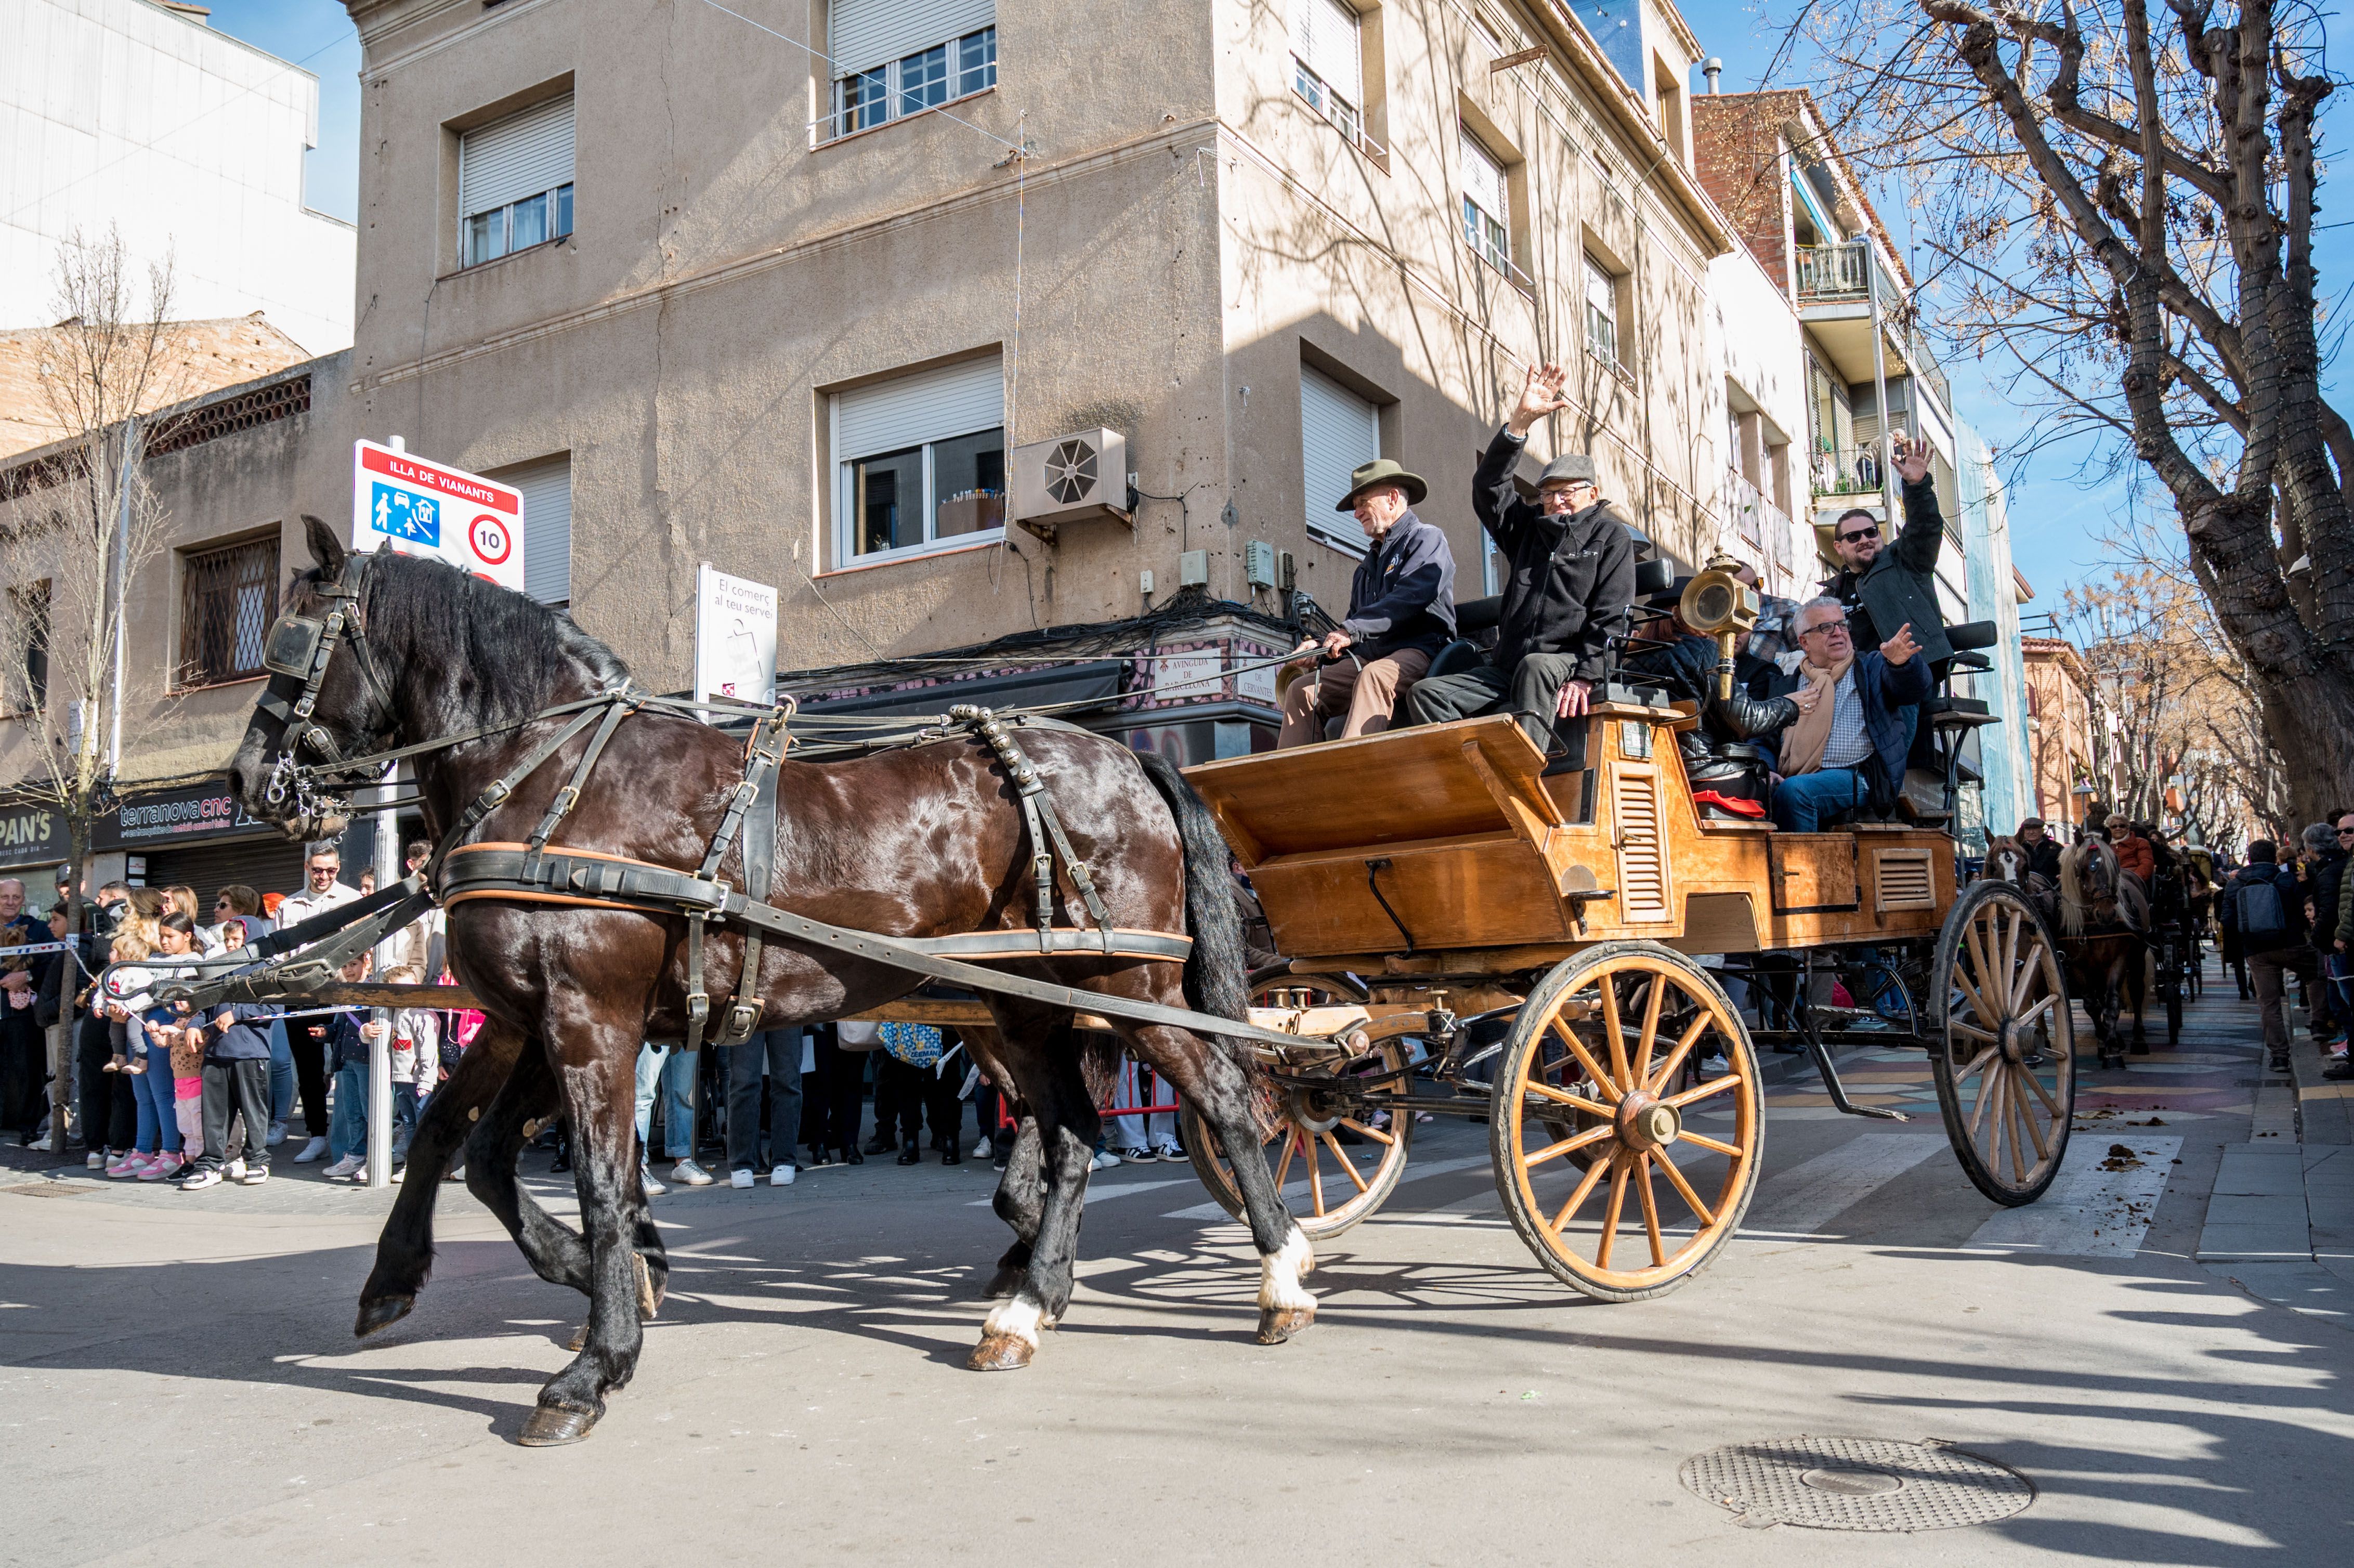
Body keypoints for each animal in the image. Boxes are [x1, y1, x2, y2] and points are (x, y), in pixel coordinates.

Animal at [227, 522, 1318, 1441]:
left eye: (294, 643)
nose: (248, 780)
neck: (554, 773)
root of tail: (1130, 760)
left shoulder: (591, 1020)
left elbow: (598, 1177)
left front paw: (597, 1357)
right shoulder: (528, 1019)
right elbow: (465, 1146)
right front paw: (449, 1276)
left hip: (1127, 980)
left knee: (1226, 1101)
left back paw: (1281, 1277)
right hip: (1028, 1005)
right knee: (1076, 1133)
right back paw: (1027, 1300)